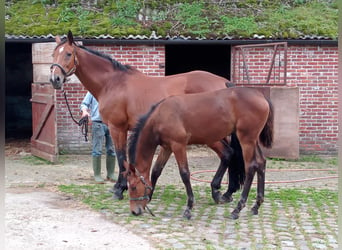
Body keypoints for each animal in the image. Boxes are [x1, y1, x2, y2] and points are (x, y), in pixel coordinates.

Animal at [49, 30, 242, 201]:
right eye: (53, 54)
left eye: (68, 54)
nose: (55, 79)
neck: (112, 83)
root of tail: (223, 83)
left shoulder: (117, 128)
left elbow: (121, 158)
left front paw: (119, 189)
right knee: (230, 154)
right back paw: (226, 192)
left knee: (227, 153)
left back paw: (217, 190)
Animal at [124, 87, 274, 220]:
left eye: (133, 187)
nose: (134, 211)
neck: (161, 115)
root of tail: (260, 96)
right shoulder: (167, 147)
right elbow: (156, 171)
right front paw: (149, 197)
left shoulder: (178, 145)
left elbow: (184, 174)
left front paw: (189, 208)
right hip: (253, 141)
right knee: (260, 163)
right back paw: (256, 205)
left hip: (246, 140)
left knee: (250, 167)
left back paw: (237, 209)